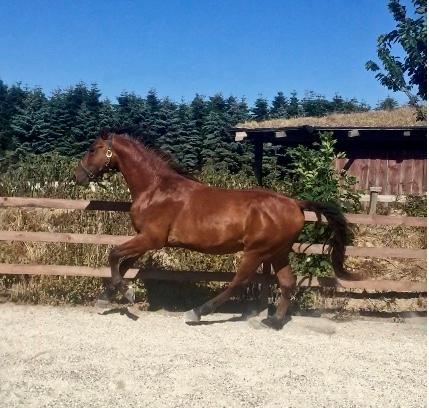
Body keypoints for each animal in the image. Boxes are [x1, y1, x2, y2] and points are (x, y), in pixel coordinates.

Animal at [75, 130, 356, 328]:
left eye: (93, 149)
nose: (78, 176)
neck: (156, 189)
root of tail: (295, 204)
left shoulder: (150, 238)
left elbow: (114, 255)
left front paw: (127, 293)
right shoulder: (147, 239)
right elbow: (123, 264)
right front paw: (106, 297)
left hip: (256, 251)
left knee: (239, 282)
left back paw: (197, 313)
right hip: (278, 252)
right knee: (288, 283)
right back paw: (274, 321)